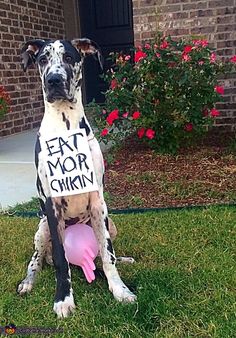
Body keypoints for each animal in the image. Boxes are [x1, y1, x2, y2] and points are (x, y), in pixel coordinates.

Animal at [17, 38, 136, 318]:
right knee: (37, 259)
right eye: (42, 59)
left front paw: (119, 289)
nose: (54, 80)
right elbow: (62, 261)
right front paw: (63, 299)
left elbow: (107, 254)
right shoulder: (51, 205)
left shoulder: (98, 203)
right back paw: (28, 281)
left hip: (111, 223)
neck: (66, 125)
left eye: (70, 58)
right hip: (42, 229)